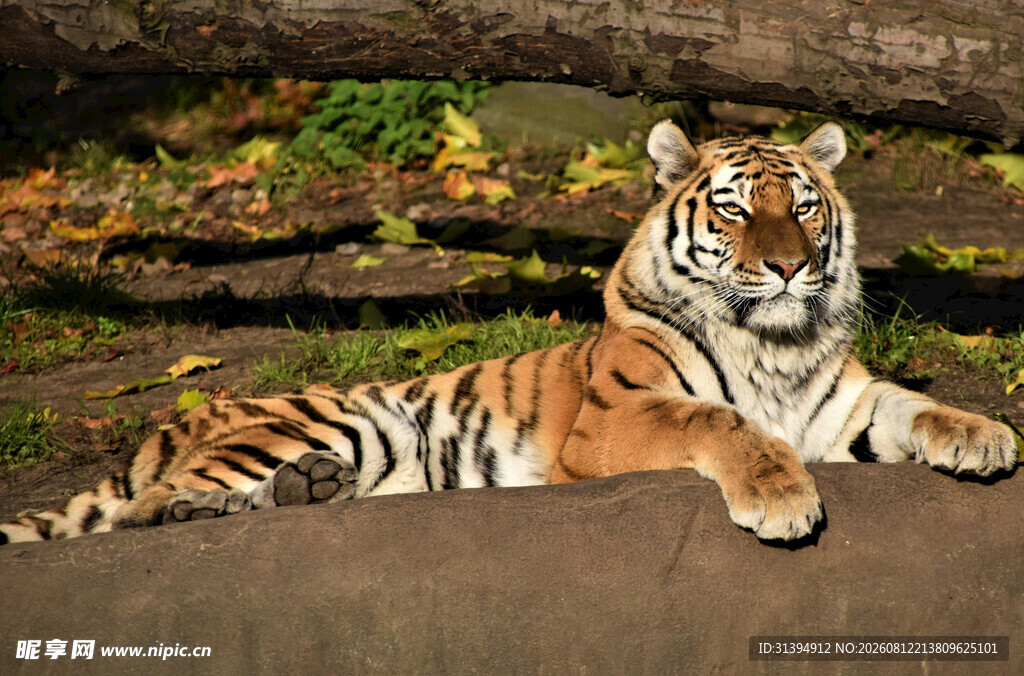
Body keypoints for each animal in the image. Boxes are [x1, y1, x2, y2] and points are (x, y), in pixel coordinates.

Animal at [1, 120, 1017, 546]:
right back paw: (198, 508)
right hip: (339, 418)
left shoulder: (842, 406)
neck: (773, 340)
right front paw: (779, 497)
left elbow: (918, 405)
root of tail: (178, 418)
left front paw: (985, 437)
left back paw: (308, 493)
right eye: (734, 210)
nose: (788, 268)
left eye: (804, 207)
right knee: (137, 510)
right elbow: (718, 421)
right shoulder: (616, 418)